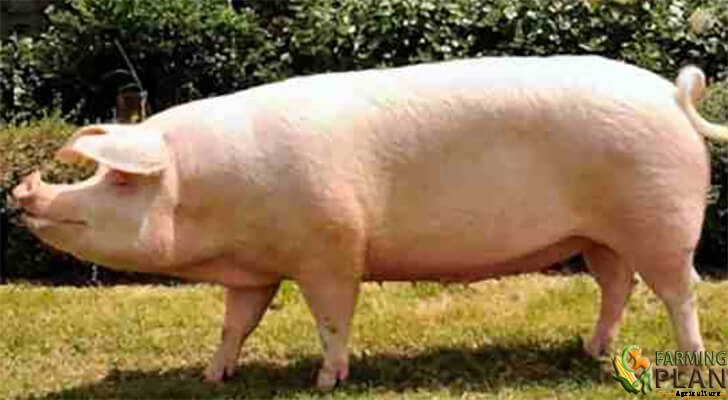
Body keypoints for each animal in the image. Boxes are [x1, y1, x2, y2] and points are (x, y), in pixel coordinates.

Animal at [10, 56, 728, 390]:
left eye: (120, 179)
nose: (22, 190)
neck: (214, 197)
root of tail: (669, 96)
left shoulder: (331, 247)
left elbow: (332, 318)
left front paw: (326, 381)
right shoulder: (256, 272)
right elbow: (236, 323)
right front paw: (213, 376)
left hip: (661, 219)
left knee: (680, 289)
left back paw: (689, 363)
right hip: (599, 235)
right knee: (617, 285)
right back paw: (591, 351)